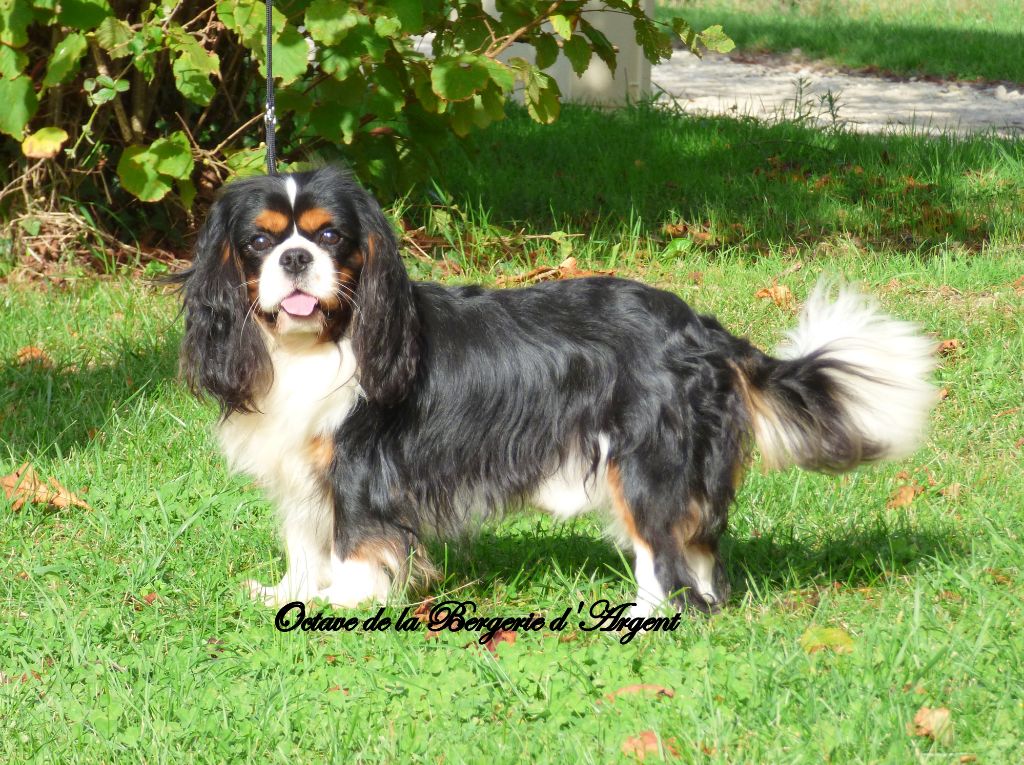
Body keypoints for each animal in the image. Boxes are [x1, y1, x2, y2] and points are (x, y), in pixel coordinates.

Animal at [177, 166, 936, 615]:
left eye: (331, 236)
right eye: (259, 242)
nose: (295, 258)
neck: (320, 341)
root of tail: (704, 329)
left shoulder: (361, 467)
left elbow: (355, 541)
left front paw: (344, 601)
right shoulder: (304, 471)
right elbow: (305, 540)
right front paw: (291, 593)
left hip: (644, 462)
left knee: (663, 554)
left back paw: (646, 615)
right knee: (695, 553)